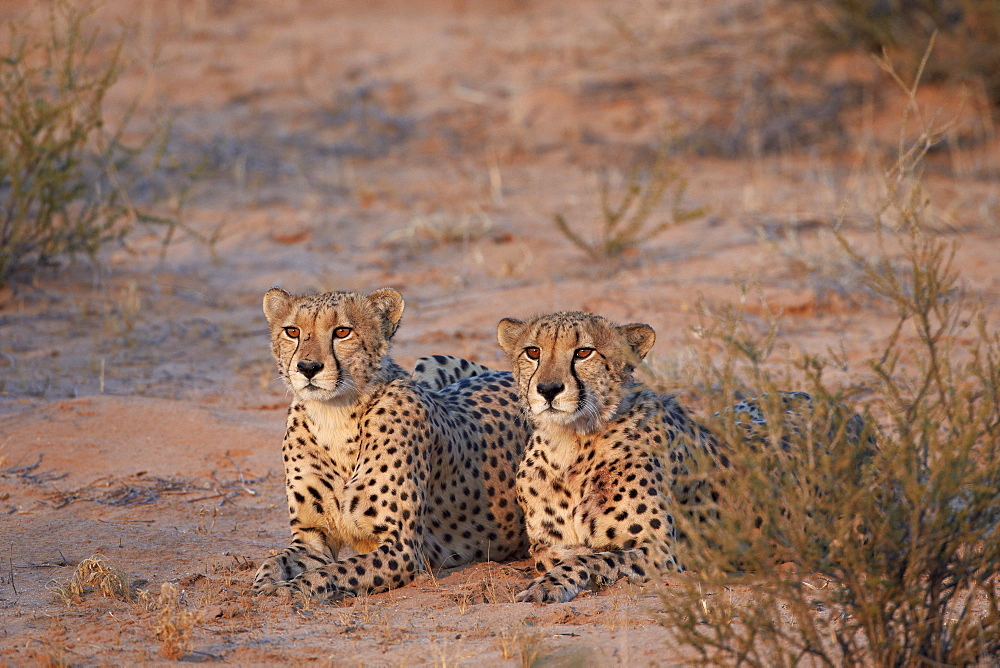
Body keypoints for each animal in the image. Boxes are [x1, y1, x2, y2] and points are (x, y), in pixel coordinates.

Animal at [252, 288, 532, 600]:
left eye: (342, 332)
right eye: (292, 331)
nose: (307, 367)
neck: (334, 416)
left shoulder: (402, 548)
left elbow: (331, 573)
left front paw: (290, 590)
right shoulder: (313, 537)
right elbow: (273, 563)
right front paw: (265, 586)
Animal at [496, 310, 724, 604]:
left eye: (583, 352)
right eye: (533, 351)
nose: (548, 389)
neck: (570, 443)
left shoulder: (663, 551)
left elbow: (589, 558)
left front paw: (548, 584)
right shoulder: (545, 541)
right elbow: (546, 553)